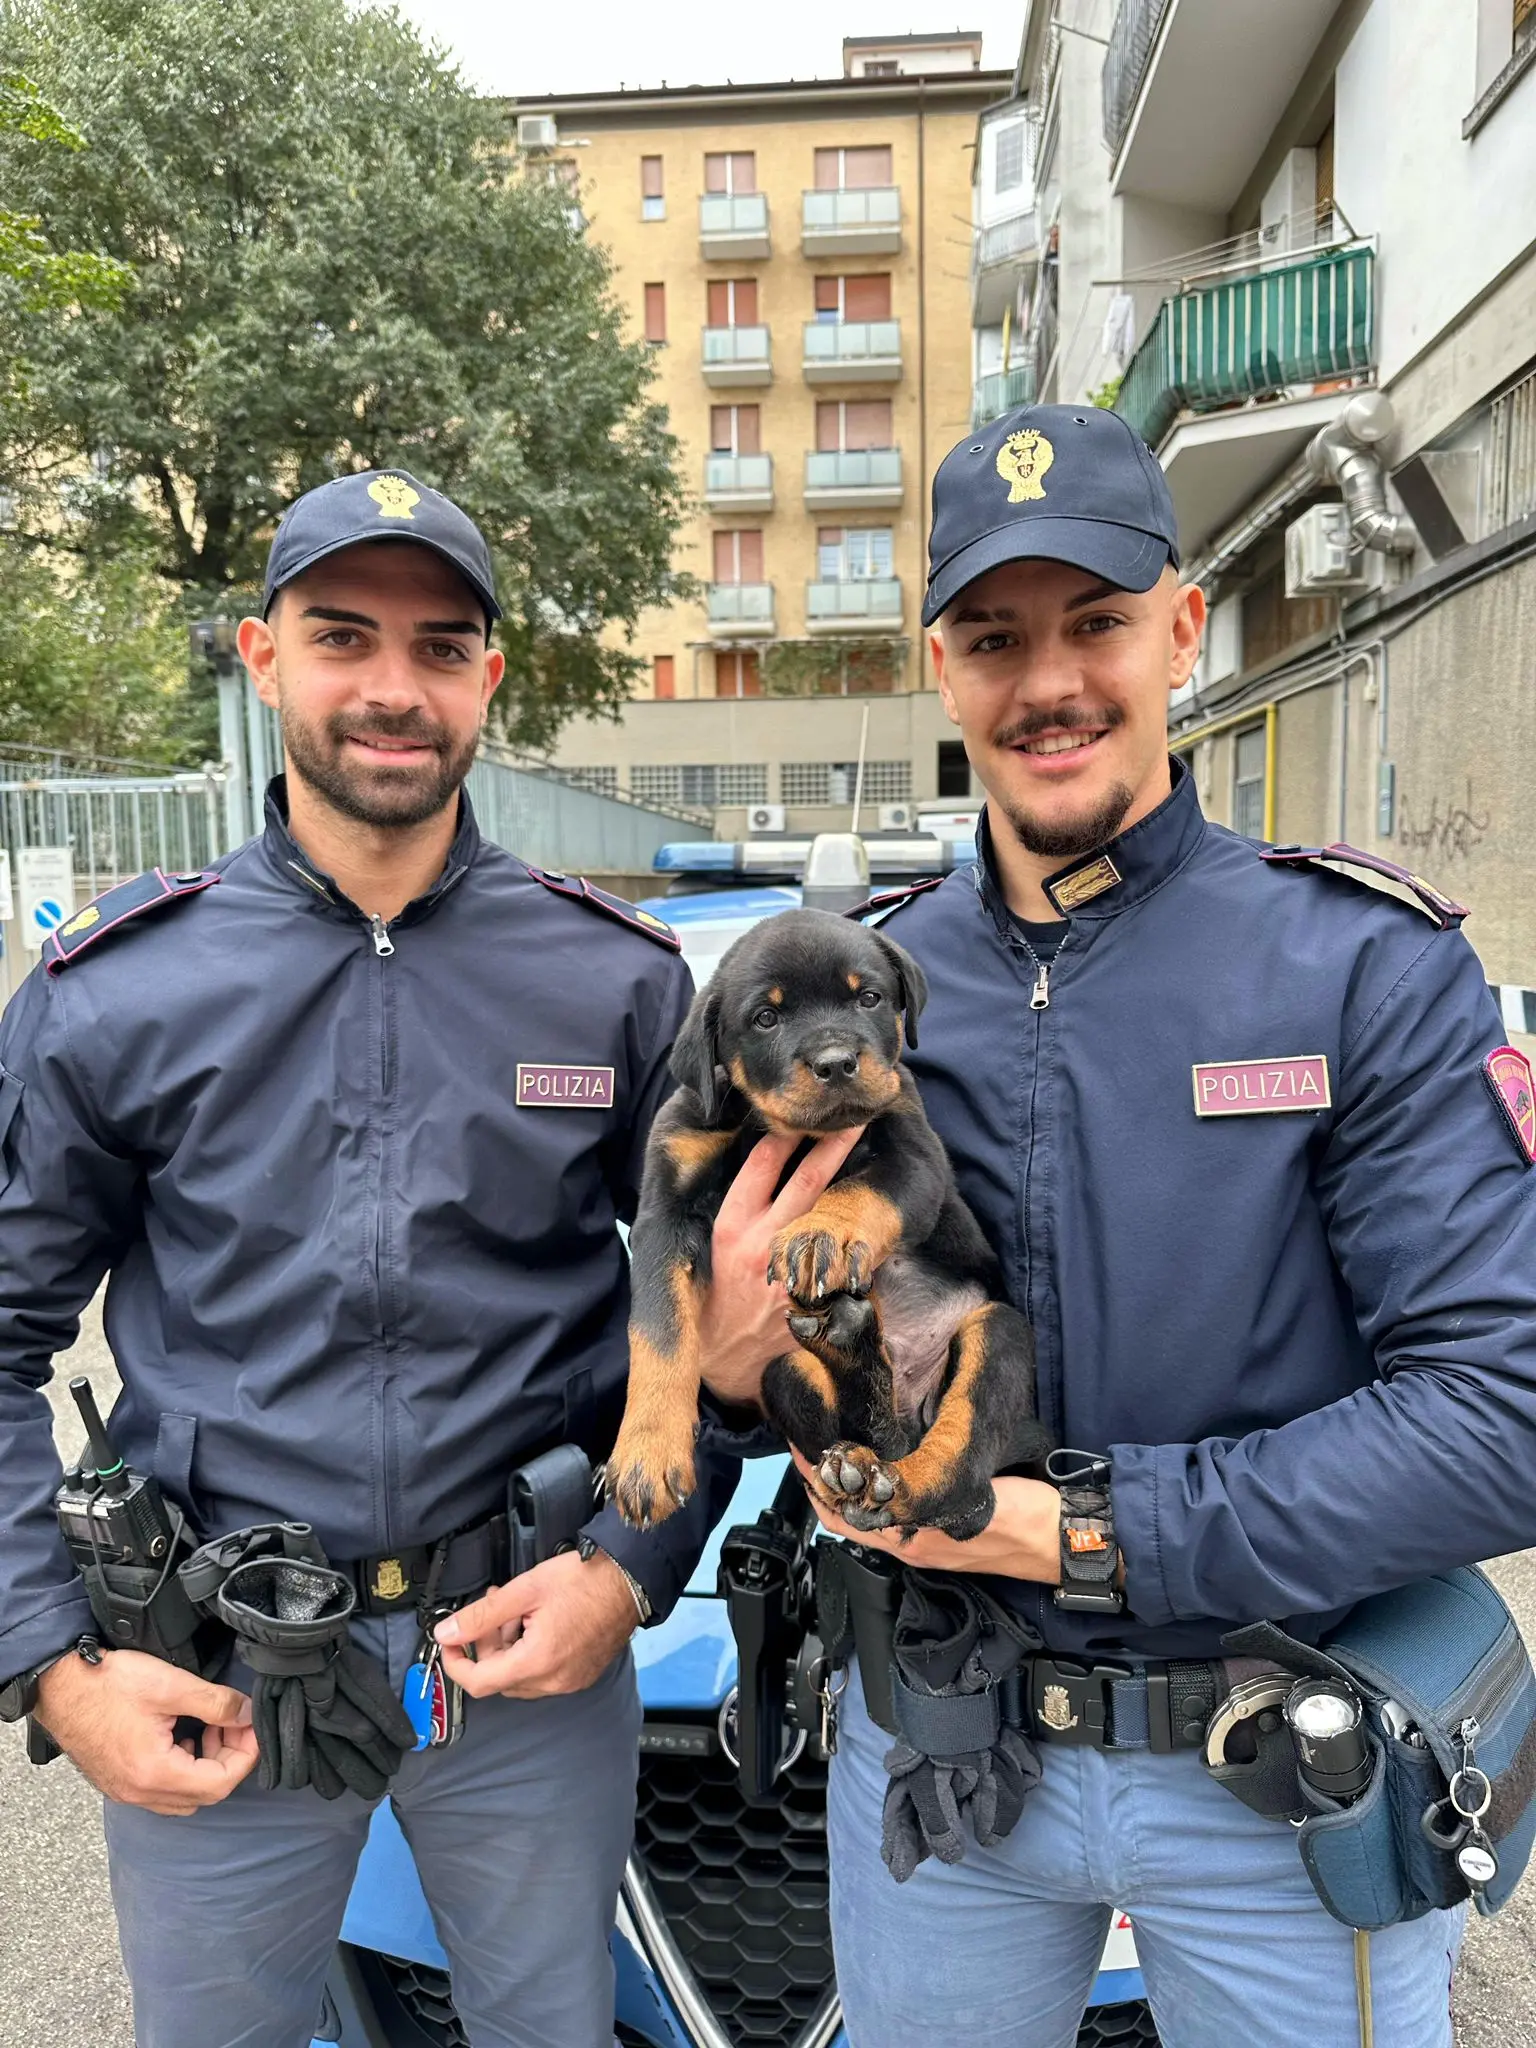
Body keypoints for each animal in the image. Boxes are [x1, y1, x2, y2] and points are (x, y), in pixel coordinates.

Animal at [606, 909, 1056, 1540]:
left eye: (868, 998)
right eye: (766, 1018)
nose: (837, 1062)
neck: (774, 1128)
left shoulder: (914, 1156)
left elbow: (860, 1188)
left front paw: (822, 1235)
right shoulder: (664, 1212)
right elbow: (657, 1329)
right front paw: (645, 1455)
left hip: (999, 1332)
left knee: (958, 1475)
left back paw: (905, 1480)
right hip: (784, 1372)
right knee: (877, 1434)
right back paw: (855, 1394)